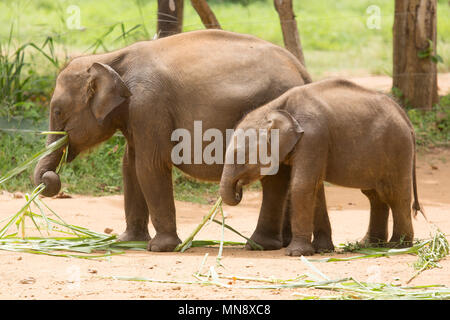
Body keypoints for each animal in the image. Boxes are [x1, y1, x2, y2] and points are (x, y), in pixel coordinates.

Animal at [33, 30, 314, 251]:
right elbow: (130, 166)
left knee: (274, 178)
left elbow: (149, 166)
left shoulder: (148, 105)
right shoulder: (135, 115)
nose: (50, 177)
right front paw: (127, 242)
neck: (110, 58)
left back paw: (259, 245)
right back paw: (283, 243)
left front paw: (160, 247)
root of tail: (302, 71)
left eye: (57, 112)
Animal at [220, 79, 424, 256]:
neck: (276, 108)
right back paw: (370, 245)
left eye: (241, 156)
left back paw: (398, 246)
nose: (239, 190)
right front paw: (322, 250)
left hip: (398, 148)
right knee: (375, 195)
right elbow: (307, 187)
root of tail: (404, 116)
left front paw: (296, 253)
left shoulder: (314, 136)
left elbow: (302, 185)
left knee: (396, 195)